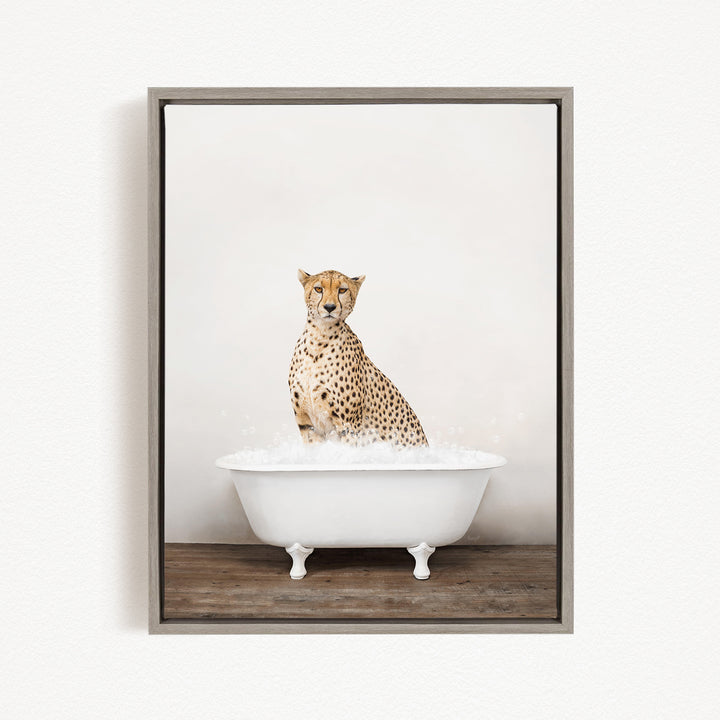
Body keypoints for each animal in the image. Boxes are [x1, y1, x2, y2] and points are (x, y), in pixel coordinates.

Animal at [288, 269, 428, 447]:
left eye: (342, 290)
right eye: (318, 289)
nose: (329, 307)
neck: (319, 337)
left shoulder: (348, 426)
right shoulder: (307, 424)